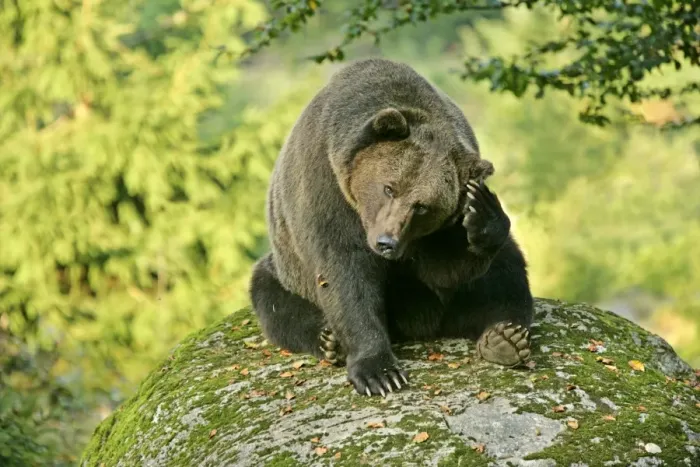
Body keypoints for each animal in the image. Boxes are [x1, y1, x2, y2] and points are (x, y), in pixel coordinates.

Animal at [249, 57, 534, 397]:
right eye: (389, 188)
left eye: (422, 206)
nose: (386, 242)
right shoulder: (326, 187)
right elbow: (344, 271)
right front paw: (380, 372)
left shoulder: (431, 234)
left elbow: (445, 269)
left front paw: (484, 212)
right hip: (286, 268)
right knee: (272, 300)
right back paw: (328, 340)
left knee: (506, 274)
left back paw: (505, 338)